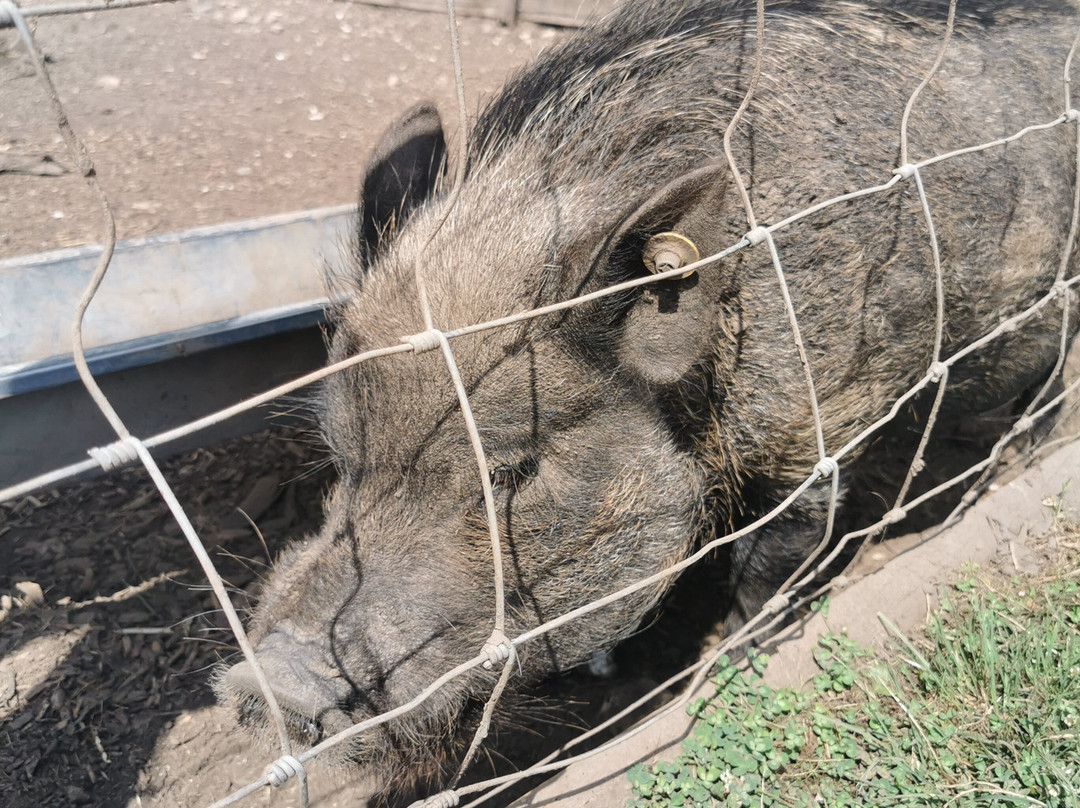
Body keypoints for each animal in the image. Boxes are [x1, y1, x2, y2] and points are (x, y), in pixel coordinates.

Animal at [220, 0, 1080, 794]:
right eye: (341, 454)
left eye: (511, 471)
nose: (272, 681)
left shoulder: (820, 428)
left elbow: (771, 555)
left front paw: (735, 658)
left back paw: (1008, 464)